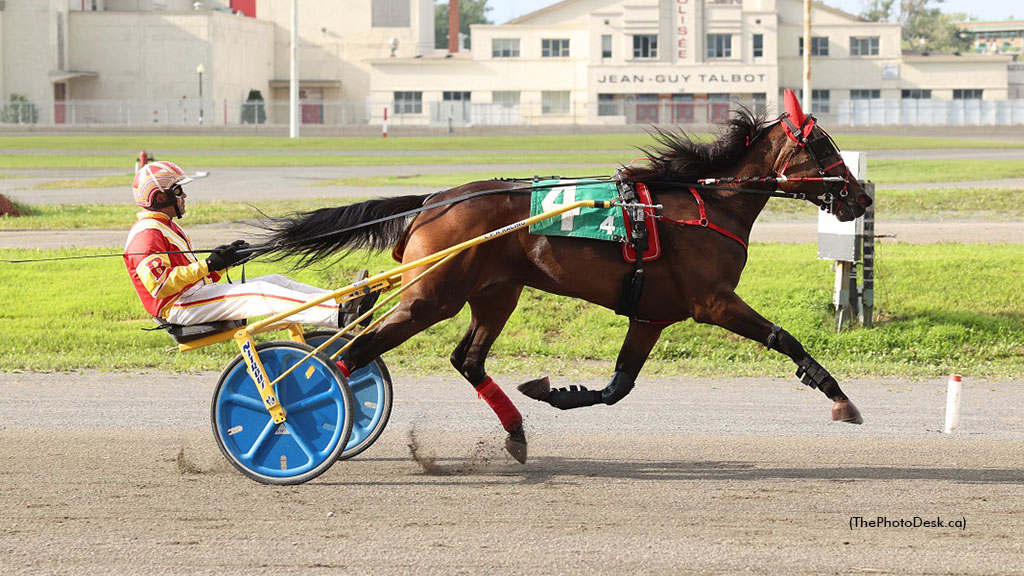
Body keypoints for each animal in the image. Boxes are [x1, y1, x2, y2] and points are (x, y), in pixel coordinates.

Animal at [262, 93, 872, 461]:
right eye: (823, 145)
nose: (861, 197)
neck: (707, 203)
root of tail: (434, 200)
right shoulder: (713, 302)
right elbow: (784, 338)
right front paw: (841, 397)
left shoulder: (652, 315)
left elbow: (618, 387)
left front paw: (553, 392)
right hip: (431, 296)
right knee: (349, 355)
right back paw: (303, 415)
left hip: (495, 293)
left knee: (466, 359)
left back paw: (515, 433)